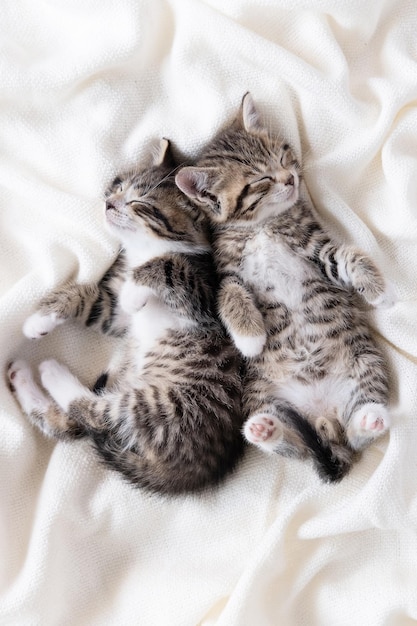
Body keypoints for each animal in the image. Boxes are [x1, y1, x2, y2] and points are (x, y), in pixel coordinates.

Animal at [6, 139, 244, 494]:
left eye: (139, 203)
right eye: (119, 186)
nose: (108, 203)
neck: (143, 251)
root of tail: (192, 473)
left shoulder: (205, 298)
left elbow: (167, 267)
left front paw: (136, 288)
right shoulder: (116, 315)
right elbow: (87, 298)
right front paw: (39, 320)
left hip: (165, 407)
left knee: (96, 413)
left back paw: (53, 373)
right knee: (74, 424)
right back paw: (21, 375)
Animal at [175, 94, 394, 482]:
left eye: (282, 155)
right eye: (261, 180)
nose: (291, 178)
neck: (262, 225)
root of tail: (323, 417)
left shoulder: (316, 248)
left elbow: (347, 257)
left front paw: (379, 291)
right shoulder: (227, 272)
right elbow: (229, 294)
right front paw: (250, 338)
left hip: (365, 365)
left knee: (353, 435)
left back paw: (370, 419)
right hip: (262, 393)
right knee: (296, 448)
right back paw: (265, 430)